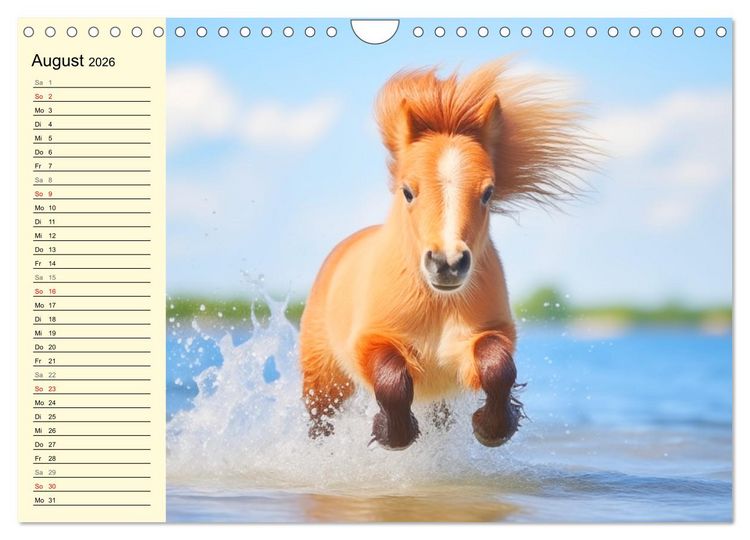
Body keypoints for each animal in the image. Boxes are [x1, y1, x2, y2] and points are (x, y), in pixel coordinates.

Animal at [298, 59, 591, 450]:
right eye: (408, 191)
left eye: (488, 192)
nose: (447, 264)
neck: (435, 303)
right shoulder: (370, 341)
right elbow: (392, 381)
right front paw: (392, 433)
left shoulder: (479, 340)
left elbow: (497, 367)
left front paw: (492, 427)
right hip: (324, 380)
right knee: (321, 420)